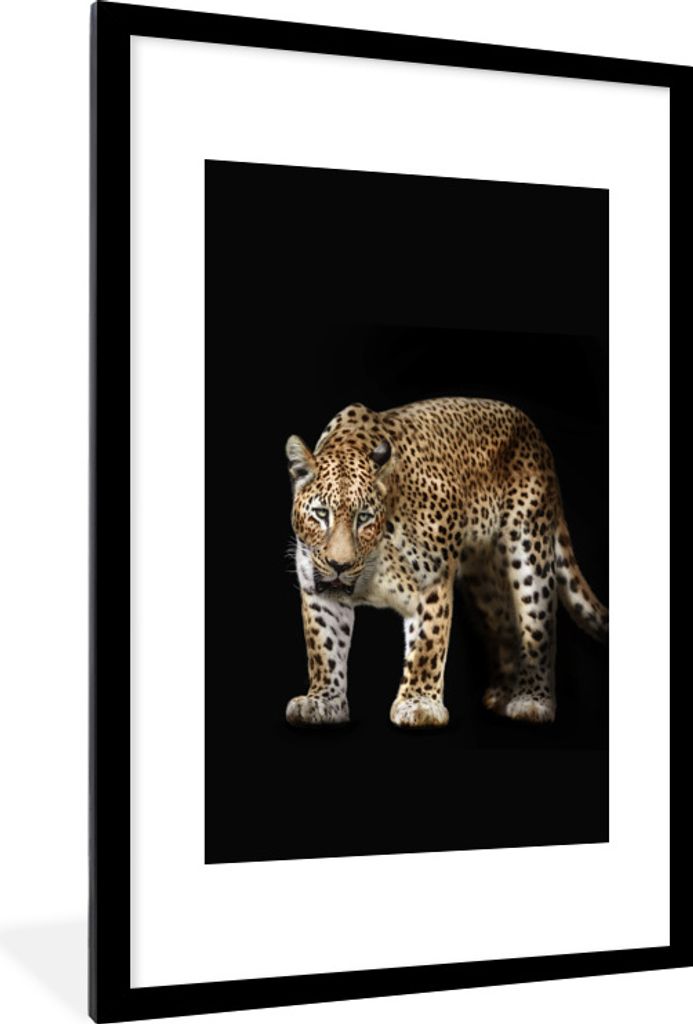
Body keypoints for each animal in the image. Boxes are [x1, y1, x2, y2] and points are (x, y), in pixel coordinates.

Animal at [285, 397, 607, 729]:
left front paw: (419, 704)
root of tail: (535, 435)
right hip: (484, 581)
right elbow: (324, 648)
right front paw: (323, 701)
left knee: (538, 623)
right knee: (505, 623)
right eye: (321, 514)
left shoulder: (432, 579)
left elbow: (427, 643)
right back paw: (502, 695)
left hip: (530, 549)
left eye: (364, 517)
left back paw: (532, 700)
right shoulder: (319, 592)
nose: (340, 565)